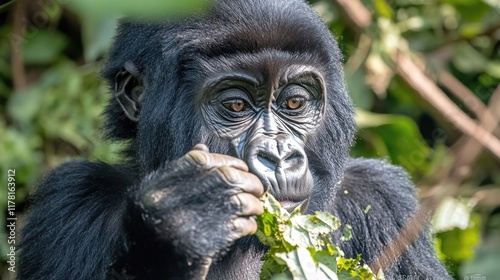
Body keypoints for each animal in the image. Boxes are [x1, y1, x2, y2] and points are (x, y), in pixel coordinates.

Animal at [18, 0, 450, 280]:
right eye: (236, 106)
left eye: (294, 102)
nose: (279, 155)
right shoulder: (72, 198)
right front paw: (177, 231)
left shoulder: (386, 198)